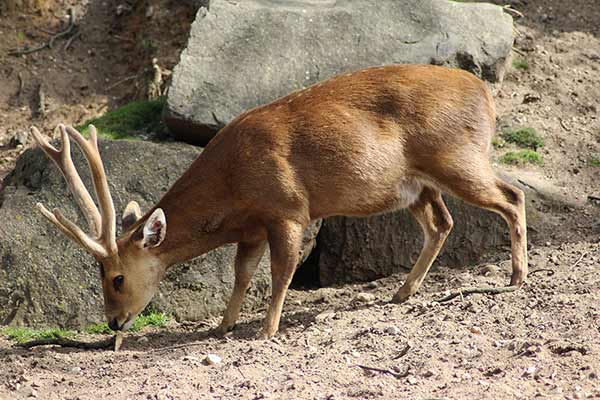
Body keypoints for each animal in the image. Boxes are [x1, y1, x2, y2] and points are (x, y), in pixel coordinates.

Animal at [30, 64, 528, 340]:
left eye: (116, 278)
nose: (114, 323)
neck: (233, 184)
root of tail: (487, 95)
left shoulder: (288, 208)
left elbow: (282, 271)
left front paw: (266, 330)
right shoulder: (251, 228)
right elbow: (240, 275)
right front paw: (224, 326)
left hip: (456, 156)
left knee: (512, 196)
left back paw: (517, 277)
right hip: (415, 186)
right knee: (442, 222)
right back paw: (403, 291)